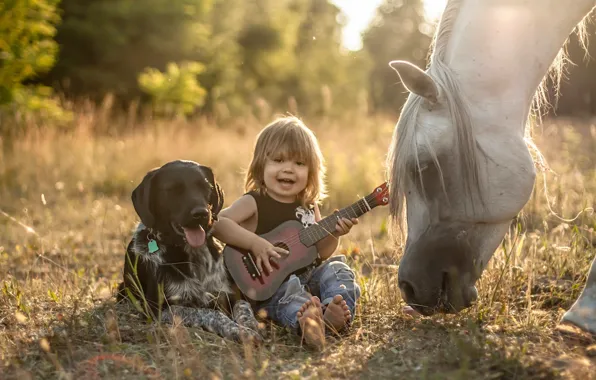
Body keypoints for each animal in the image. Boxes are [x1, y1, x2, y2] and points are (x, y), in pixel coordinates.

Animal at [118, 159, 260, 342]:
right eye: (172, 189)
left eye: (206, 187)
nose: (201, 213)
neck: (193, 254)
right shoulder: (159, 309)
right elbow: (207, 312)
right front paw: (236, 330)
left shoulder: (232, 294)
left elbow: (244, 307)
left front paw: (249, 325)